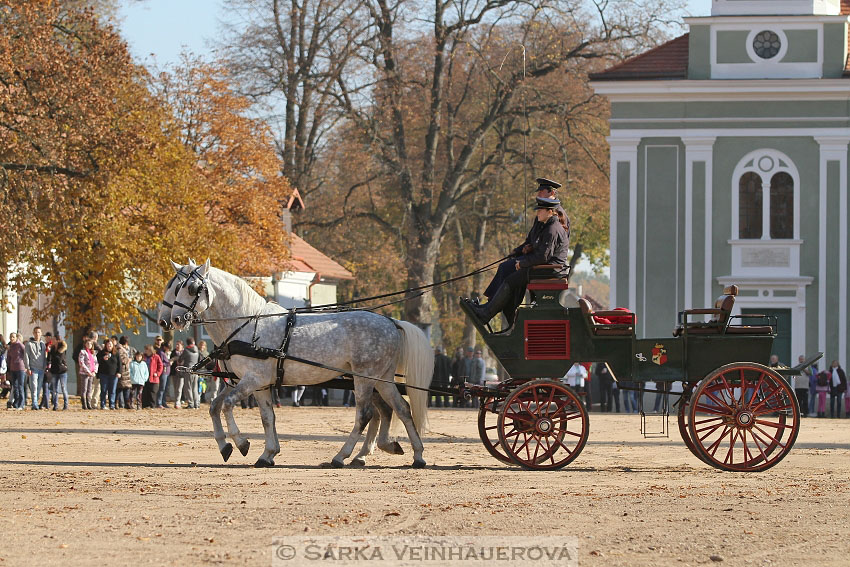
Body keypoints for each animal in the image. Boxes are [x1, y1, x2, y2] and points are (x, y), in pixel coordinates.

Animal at [163, 260, 434, 468]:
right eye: (176, 288)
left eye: (192, 288)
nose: (173, 319)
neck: (248, 324)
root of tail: (391, 321)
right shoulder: (256, 384)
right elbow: (258, 416)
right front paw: (265, 453)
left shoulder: (253, 380)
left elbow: (227, 406)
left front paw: (240, 443)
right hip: (381, 378)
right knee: (399, 408)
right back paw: (415, 454)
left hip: (364, 378)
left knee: (366, 414)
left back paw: (341, 456)